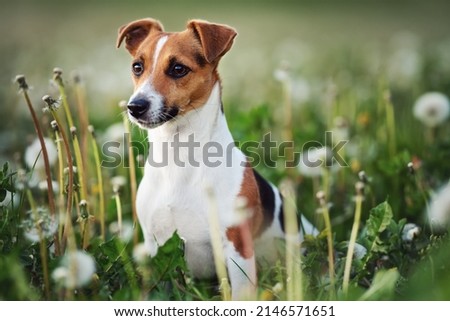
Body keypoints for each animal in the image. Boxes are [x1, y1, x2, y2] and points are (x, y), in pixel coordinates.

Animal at [117, 16, 316, 298]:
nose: (135, 106)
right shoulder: (154, 246)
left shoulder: (237, 247)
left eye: (178, 68)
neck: (179, 155)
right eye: (137, 67)